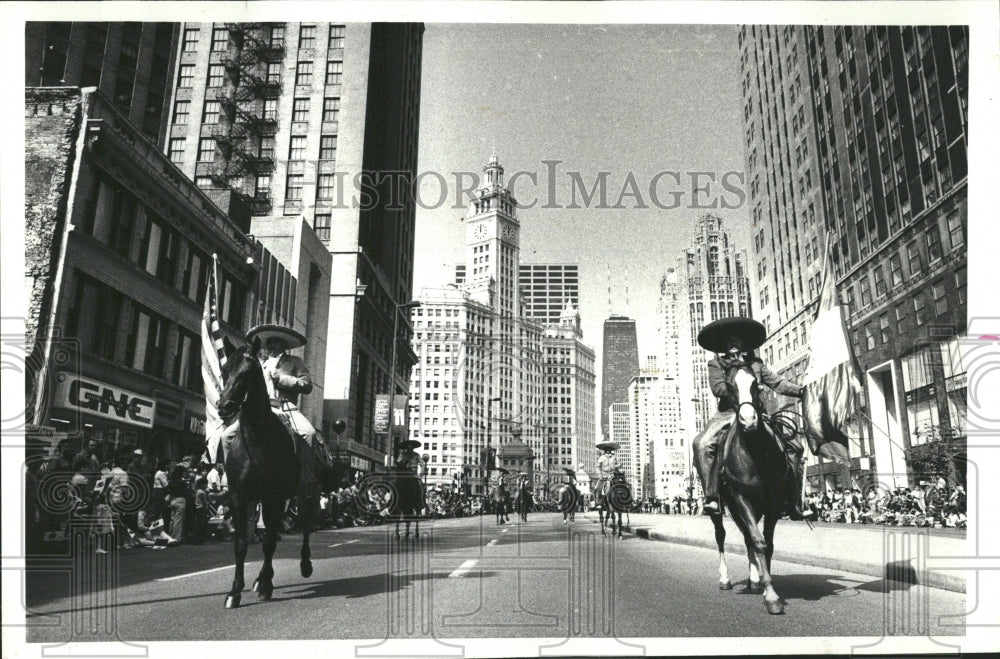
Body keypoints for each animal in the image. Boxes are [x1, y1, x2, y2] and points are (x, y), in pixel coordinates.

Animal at [218, 338, 320, 612]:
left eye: (247, 372)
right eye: (225, 371)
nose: (224, 407)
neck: (257, 437)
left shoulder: (274, 495)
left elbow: (269, 543)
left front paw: (265, 586)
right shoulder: (239, 496)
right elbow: (242, 543)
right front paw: (235, 591)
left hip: (305, 494)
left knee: (305, 527)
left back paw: (304, 566)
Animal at [712, 358, 796, 616]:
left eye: (755, 384)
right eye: (729, 386)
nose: (749, 421)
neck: (755, 451)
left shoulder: (774, 502)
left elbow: (766, 543)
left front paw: (766, 585)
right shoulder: (742, 498)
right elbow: (759, 541)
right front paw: (771, 596)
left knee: (748, 536)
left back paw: (754, 579)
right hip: (725, 506)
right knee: (721, 535)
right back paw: (725, 579)